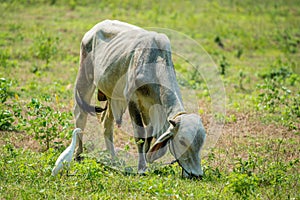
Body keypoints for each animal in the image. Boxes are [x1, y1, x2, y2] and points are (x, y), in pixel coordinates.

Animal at [74, 19, 206, 178]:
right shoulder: (132, 101)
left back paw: (113, 160)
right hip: (84, 79)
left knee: (107, 124)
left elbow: (149, 137)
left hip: (112, 94)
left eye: (200, 144)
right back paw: (78, 155)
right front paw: (141, 168)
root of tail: (94, 28)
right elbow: (140, 138)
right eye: (182, 141)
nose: (197, 175)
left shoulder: (150, 108)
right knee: (80, 115)